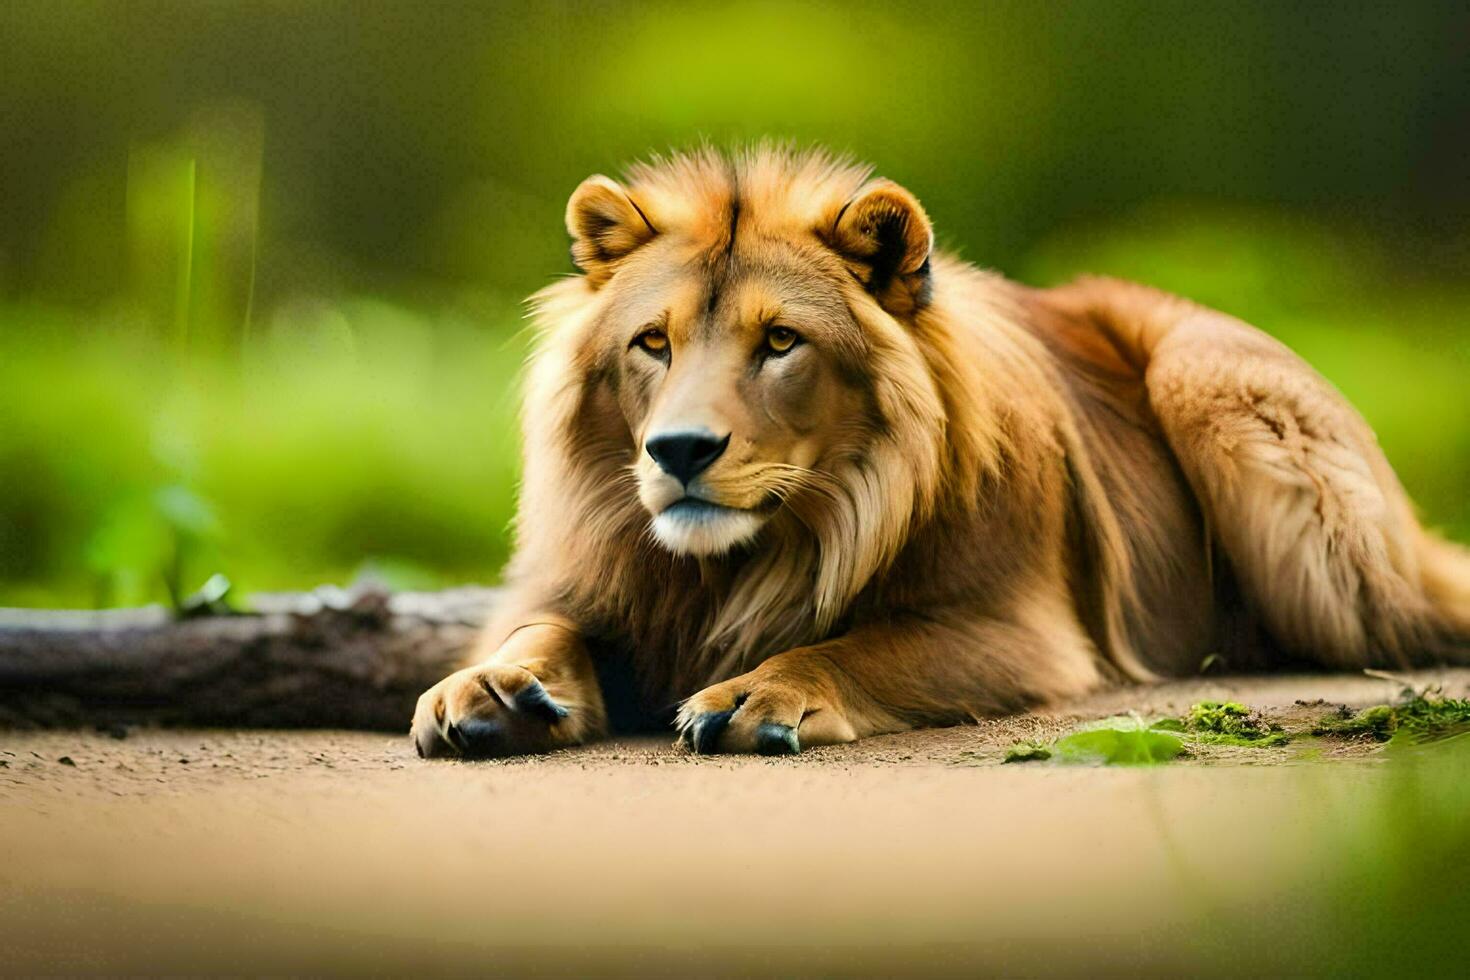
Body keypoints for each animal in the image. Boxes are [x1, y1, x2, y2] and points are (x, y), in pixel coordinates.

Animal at [411, 145, 1470, 758]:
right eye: (652, 343)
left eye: (781, 341)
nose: (677, 450)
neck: (751, 556)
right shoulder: (599, 585)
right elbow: (543, 629)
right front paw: (491, 688)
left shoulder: (1022, 629)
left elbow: (860, 645)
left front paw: (763, 692)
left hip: (1212, 384)